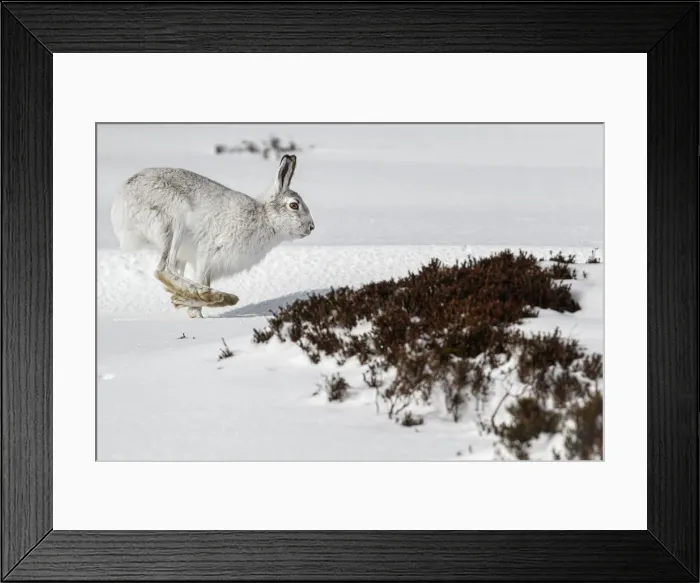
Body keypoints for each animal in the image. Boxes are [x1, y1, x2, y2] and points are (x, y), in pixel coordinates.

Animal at [110, 154, 314, 318]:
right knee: (163, 269)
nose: (311, 227)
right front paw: (194, 308)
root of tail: (121, 200)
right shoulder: (207, 255)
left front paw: (183, 304)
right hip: (174, 221)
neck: (265, 217)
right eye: (294, 205)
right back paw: (220, 296)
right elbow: (200, 282)